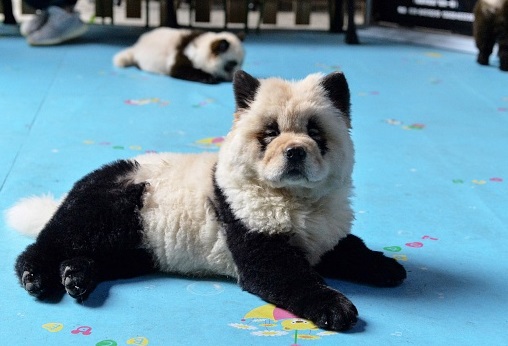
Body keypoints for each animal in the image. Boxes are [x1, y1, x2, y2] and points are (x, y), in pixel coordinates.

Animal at [5, 69, 406, 332]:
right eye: (270, 133)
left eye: (315, 132)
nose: (295, 152)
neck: (294, 198)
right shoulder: (245, 219)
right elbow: (283, 273)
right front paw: (335, 307)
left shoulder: (326, 228)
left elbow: (348, 247)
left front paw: (387, 267)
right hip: (114, 206)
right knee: (56, 239)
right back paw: (37, 276)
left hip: (137, 246)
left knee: (101, 257)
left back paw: (77, 275)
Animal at [111, 27, 246, 83]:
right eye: (231, 64)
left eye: (242, 63)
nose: (236, 75)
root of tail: (137, 45)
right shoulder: (182, 58)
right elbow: (180, 70)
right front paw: (209, 78)